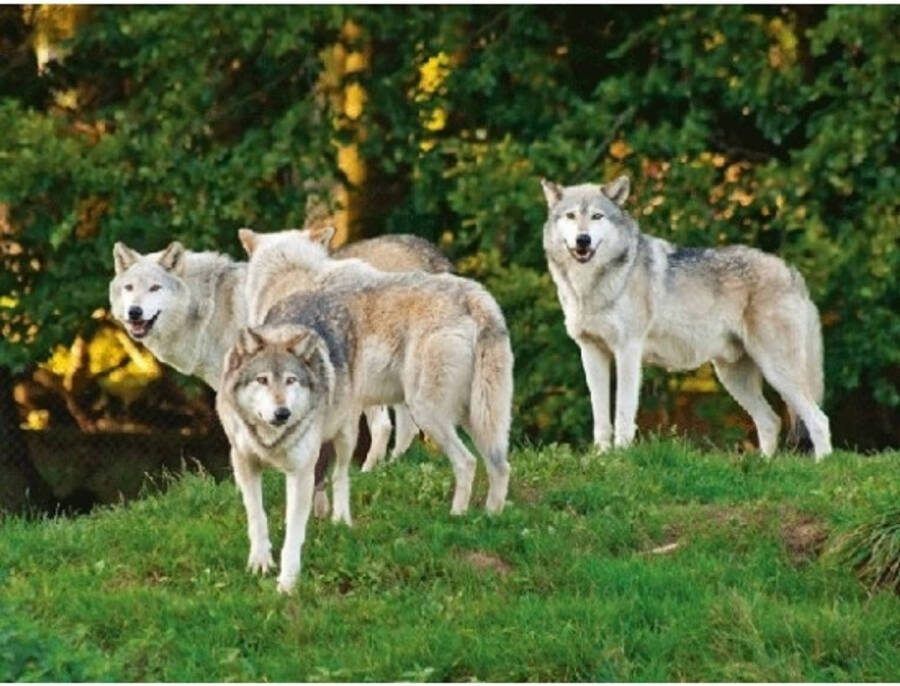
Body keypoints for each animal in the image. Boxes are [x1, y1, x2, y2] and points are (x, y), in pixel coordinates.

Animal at [108, 232, 452, 515]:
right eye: (129, 288)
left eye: (155, 288)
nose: (134, 312)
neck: (210, 305)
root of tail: (427, 251)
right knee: (405, 427)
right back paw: (387, 468)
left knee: (383, 426)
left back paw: (368, 472)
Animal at [216, 324, 341, 593]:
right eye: (262, 380)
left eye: (290, 380)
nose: (283, 413)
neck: (271, 439)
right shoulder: (243, 461)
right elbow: (256, 515)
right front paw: (260, 561)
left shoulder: (300, 472)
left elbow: (294, 531)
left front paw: (288, 581)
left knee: (341, 474)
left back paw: (341, 519)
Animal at [239, 226, 513, 525]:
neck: (288, 276)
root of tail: (473, 296)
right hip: (475, 417)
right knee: (499, 465)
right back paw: (490, 518)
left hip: (427, 412)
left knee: (465, 461)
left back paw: (456, 514)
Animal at [540, 175, 832, 460]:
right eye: (571, 216)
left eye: (597, 216)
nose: (583, 240)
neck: (590, 286)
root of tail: (792, 272)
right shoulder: (591, 352)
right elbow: (600, 416)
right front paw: (601, 457)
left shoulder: (627, 351)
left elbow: (623, 412)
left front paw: (621, 457)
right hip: (733, 376)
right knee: (771, 420)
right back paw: (762, 465)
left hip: (777, 370)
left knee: (819, 419)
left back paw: (822, 464)